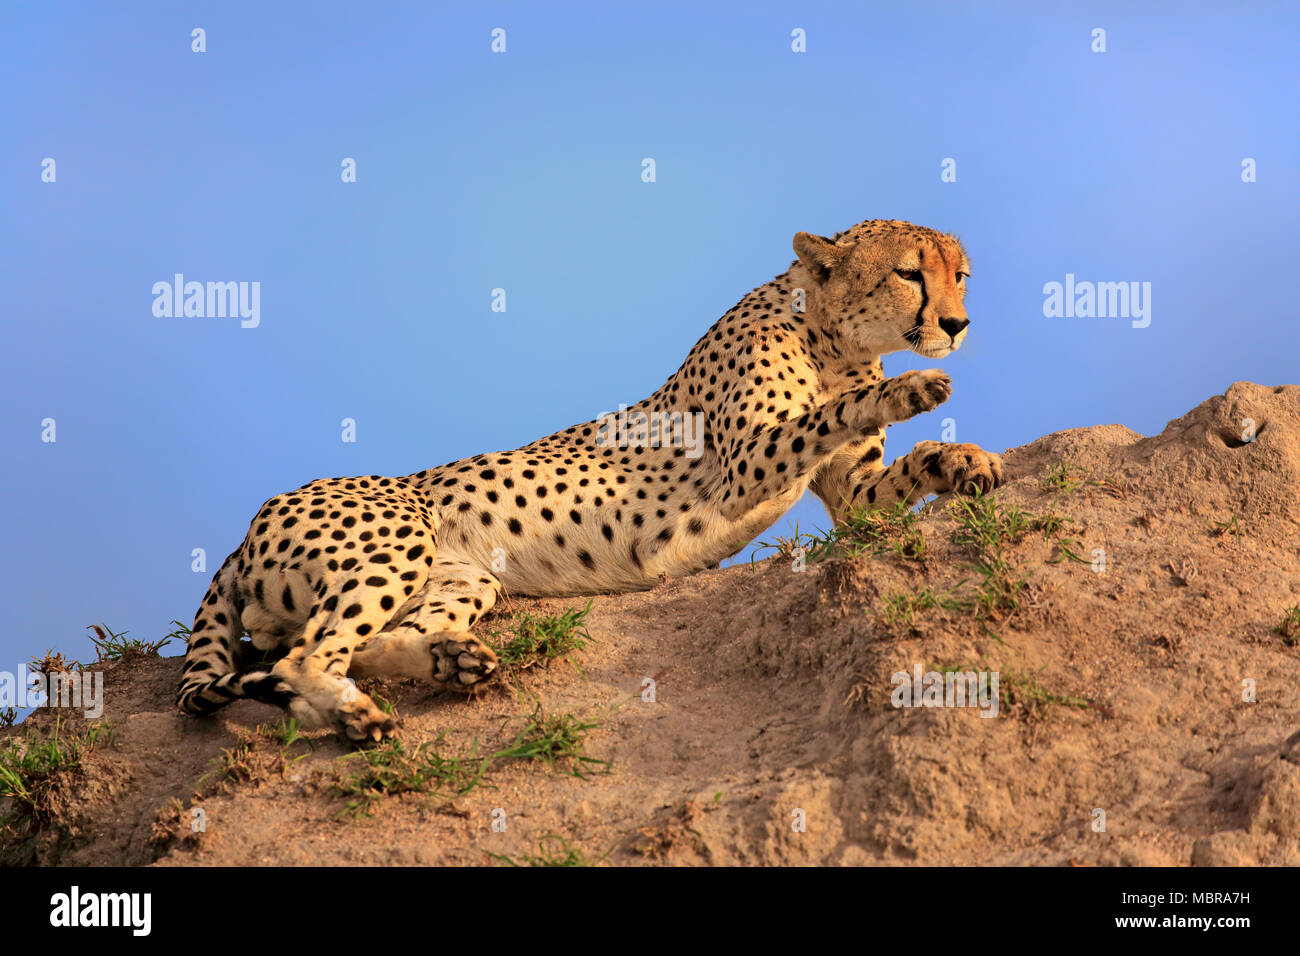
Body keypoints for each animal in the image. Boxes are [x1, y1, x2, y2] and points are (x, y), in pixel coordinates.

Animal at [178, 218, 998, 738]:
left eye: (960, 277)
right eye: (909, 274)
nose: (957, 325)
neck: (830, 338)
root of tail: (248, 527)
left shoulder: (854, 496)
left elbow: (884, 488)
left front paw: (966, 460)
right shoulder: (741, 469)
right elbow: (829, 415)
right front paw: (910, 389)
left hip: (465, 576)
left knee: (362, 641)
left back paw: (451, 658)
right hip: (395, 537)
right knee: (302, 653)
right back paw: (351, 714)